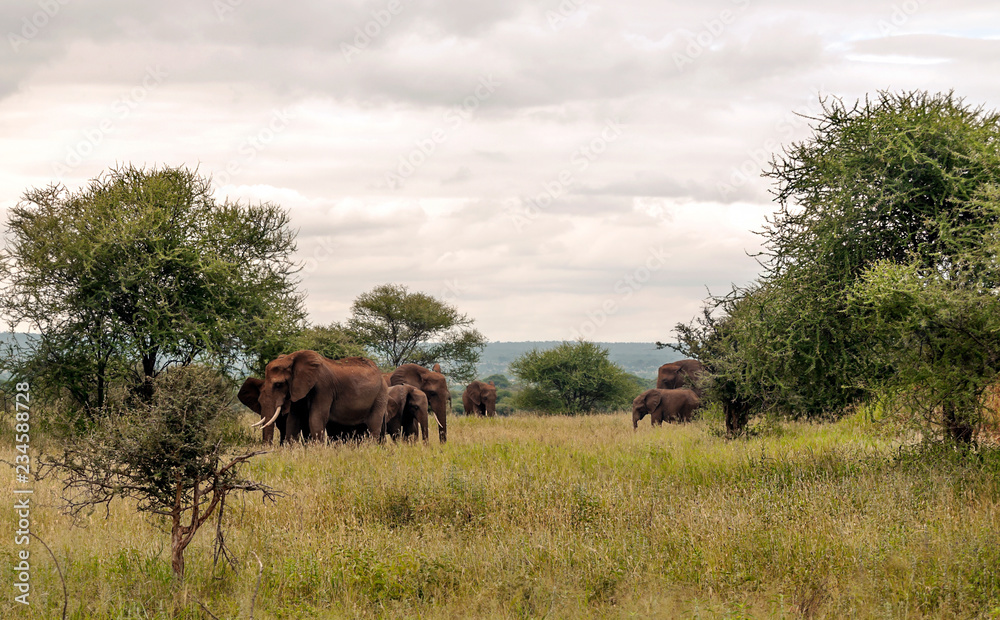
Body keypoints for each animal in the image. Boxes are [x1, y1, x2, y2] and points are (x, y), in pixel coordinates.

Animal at [243, 350, 388, 443]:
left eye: (278, 384)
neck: (291, 358)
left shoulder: (323, 388)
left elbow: (316, 418)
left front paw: (316, 452)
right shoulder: (298, 389)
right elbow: (293, 420)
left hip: (380, 396)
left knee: (373, 427)